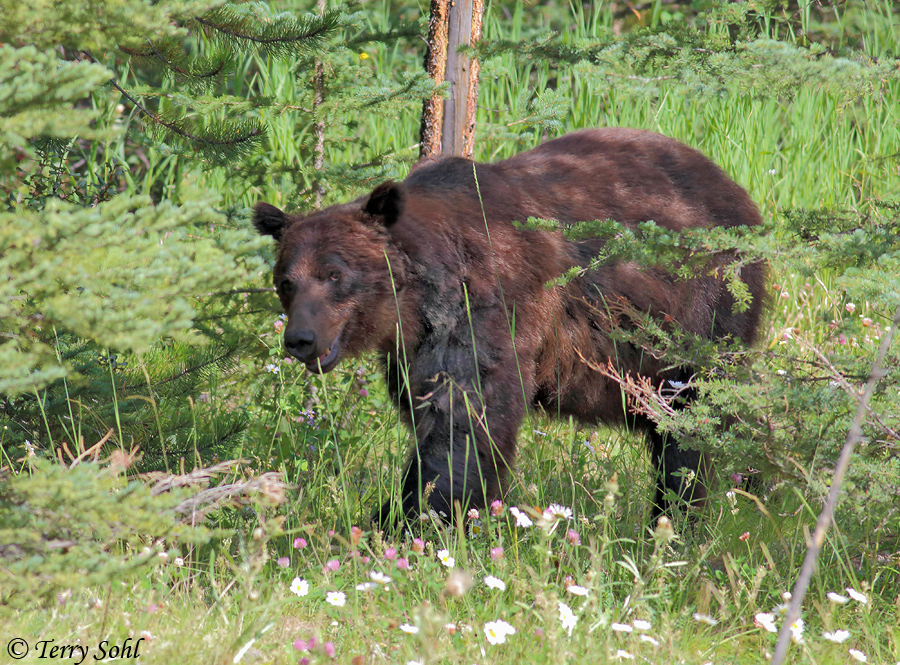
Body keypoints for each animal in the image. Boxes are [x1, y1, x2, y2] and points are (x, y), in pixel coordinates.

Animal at [253, 128, 766, 527]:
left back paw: (679, 514)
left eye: (335, 275)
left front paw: (408, 519)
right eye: (286, 281)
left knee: (690, 425)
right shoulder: (414, 346)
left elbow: (465, 417)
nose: (300, 339)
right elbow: (432, 408)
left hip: (698, 316)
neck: (419, 297)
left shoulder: (487, 304)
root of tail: (736, 191)